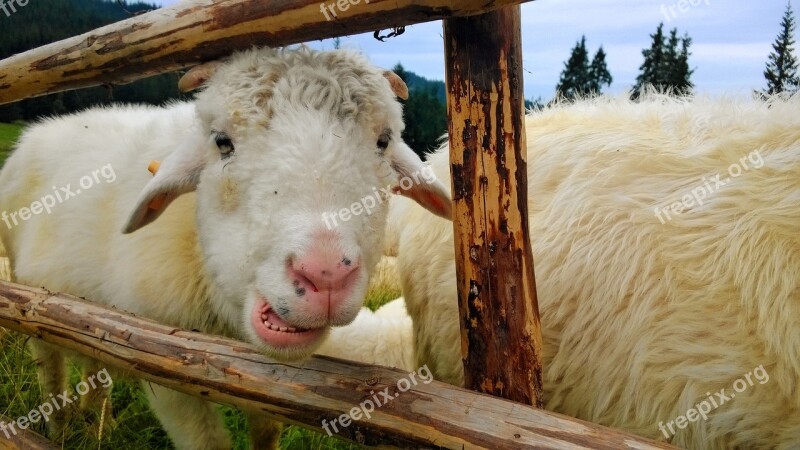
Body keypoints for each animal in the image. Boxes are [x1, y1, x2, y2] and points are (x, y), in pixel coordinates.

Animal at [0, 46, 450, 450]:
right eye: (221, 142)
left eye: (383, 141)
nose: (325, 275)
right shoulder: (160, 357)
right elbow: (206, 441)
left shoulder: (264, 379)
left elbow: (266, 431)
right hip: (34, 302)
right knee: (51, 373)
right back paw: (59, 431)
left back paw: (97, 423)